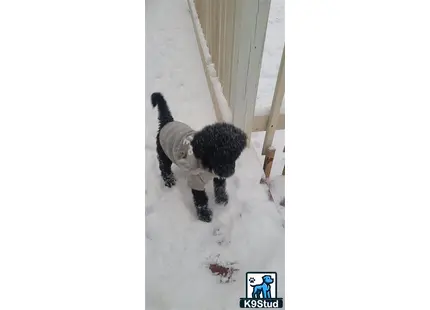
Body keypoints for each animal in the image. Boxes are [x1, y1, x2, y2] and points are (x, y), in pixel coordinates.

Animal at [151, 92, 247, 223]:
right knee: (163, 166)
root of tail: (167, 121)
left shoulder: (218, 175)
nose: (228, 172)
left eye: (234, 154)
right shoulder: (196, 180)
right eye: (215, 155)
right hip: (163, 153)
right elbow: (201, 200)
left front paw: (221, 200)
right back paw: (169, 180)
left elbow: (220, 187)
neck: (208, 166)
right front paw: (204, 215)